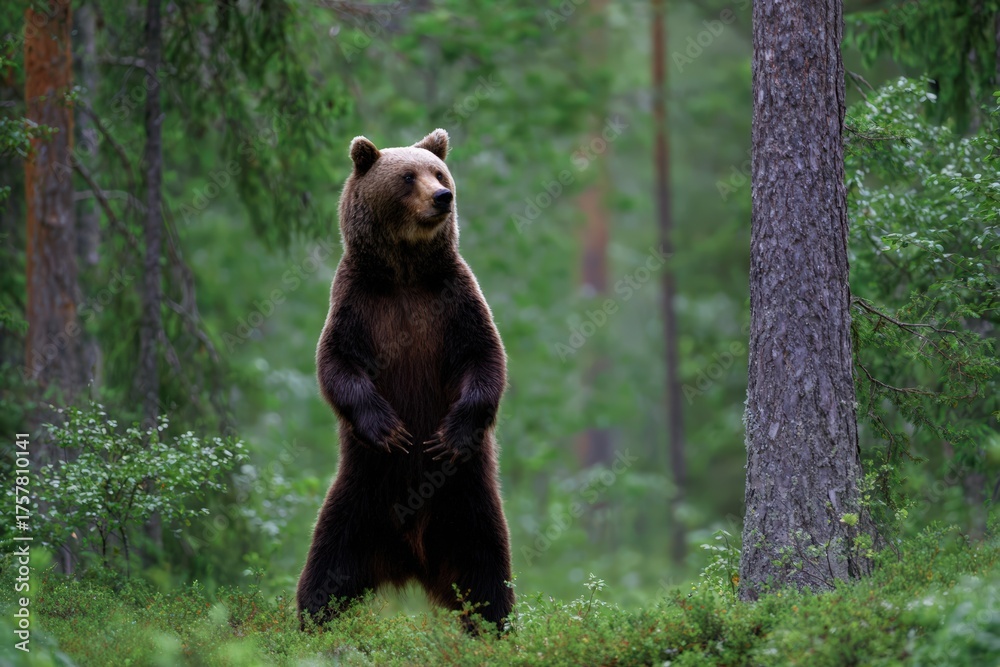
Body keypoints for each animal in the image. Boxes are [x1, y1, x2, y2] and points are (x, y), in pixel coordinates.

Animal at [296, 129, 514, 633]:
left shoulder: (454, 300)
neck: (405, 273)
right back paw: (308, 625)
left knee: (488, 575)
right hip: (358, 498)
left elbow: (484, 358)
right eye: (407, 176)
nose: (442, 197)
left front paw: (448, 435)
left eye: (439, 172)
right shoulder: (358, 302)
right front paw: (390, 429)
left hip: (469, 503)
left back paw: (498, 628)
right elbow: (337, 363)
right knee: (325, 571)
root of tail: (411, 559)